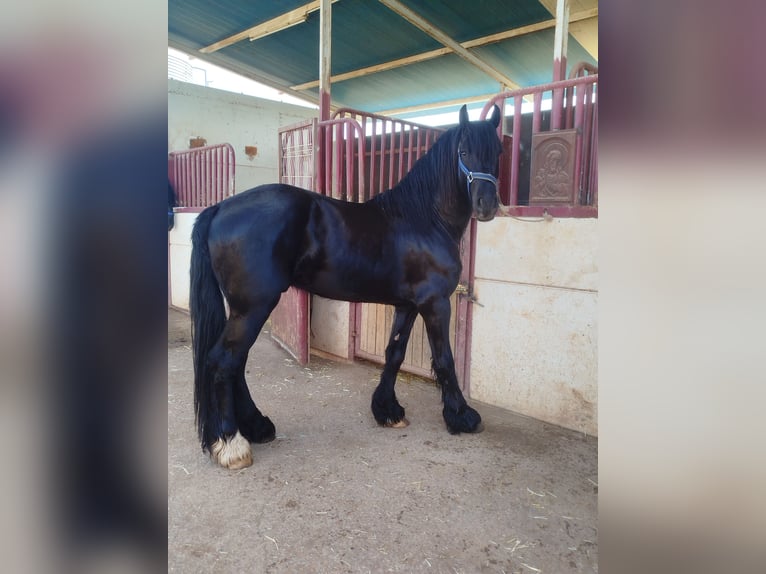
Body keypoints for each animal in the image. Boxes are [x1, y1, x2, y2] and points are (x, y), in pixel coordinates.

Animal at [190, 104, 502, 469]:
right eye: (464, 152)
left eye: (498, 152)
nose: (486, 205)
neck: (423, 220)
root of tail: (220, 207)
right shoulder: (436, 303)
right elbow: (444, 359)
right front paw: (462, 416)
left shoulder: (408, 305)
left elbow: (394, 353)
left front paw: (388, 410)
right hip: (253, 307)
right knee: (222, 362)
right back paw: (231, 443)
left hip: (244, 309)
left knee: (235, 363)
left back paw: (257, 427)